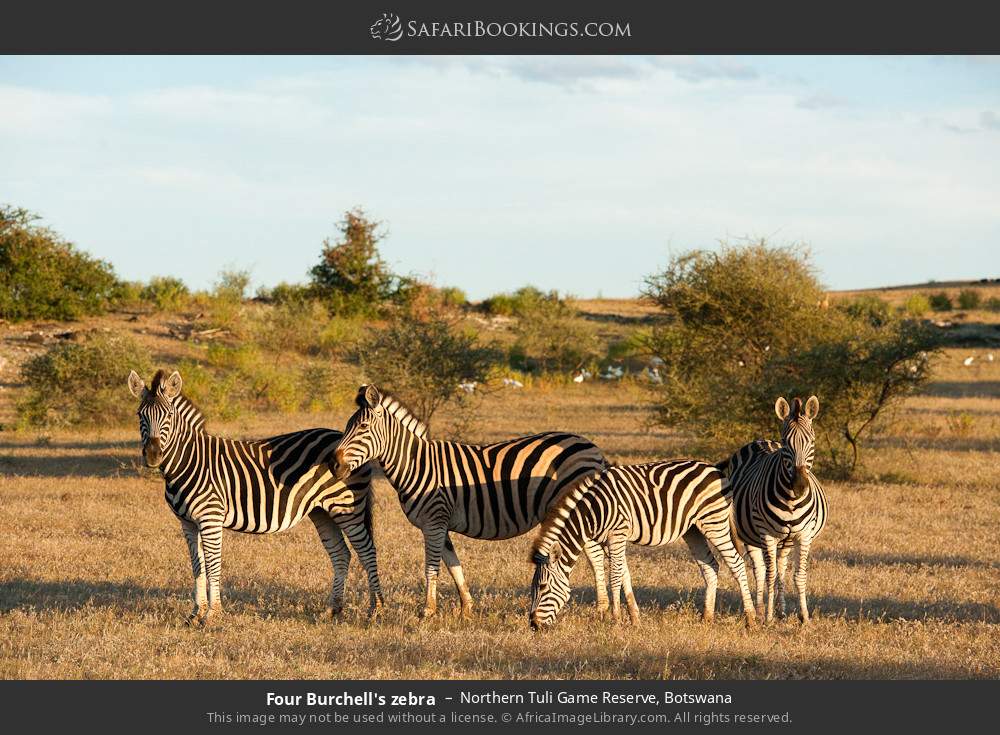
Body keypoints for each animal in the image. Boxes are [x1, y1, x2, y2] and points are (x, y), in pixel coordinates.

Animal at [127, 369, 383, 626]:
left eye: (169, 415)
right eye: (140, 415)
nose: (153, 455)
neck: (189, 461)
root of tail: (344, 439)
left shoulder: (210, 517)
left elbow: (213, 565)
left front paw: (212, 614)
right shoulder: (187, 522)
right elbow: (197, 566)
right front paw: (195, 613)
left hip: (346, 506)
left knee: (367, 551)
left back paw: (376, 610)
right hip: (322, 511)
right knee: (341, 554)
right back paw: (333, 609)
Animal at [330, 383, 615, 619]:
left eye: (363, 429)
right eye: (347, 428)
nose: (334, 465)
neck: (416, 465)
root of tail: (591, 446)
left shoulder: (434, 521)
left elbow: (431, 568)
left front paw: (427, 611)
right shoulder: (438, 524)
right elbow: (453, 564)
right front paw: (466, 608)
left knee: (594, 555)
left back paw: (602, 608)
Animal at [528, 460, 757, 629]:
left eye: (543, 587)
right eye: (532, 588)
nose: (533, 625)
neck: (594, 512)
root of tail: (716, 469)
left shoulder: (617, 534)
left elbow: (614, 577)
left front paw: (616, 619)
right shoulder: (609, 541)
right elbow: (624, 575)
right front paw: (634, 619)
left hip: (714, 522)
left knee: (737, 563)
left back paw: (750, 619)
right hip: (693, 529)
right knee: (710, 566)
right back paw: (707, 619)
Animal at [718, 395, 828, 624]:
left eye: (812, 441)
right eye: (786, 443)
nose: (800, 485)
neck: (791, 500)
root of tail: (760, 441)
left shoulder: (804, 535)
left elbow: (799, 575)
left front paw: (804, 617)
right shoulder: (767, 535)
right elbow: (769, 575)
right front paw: (768, 617)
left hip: (786, 539)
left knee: (782, 568)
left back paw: (782, 611)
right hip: (750, 534)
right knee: (761, 570)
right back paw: (760, 610)